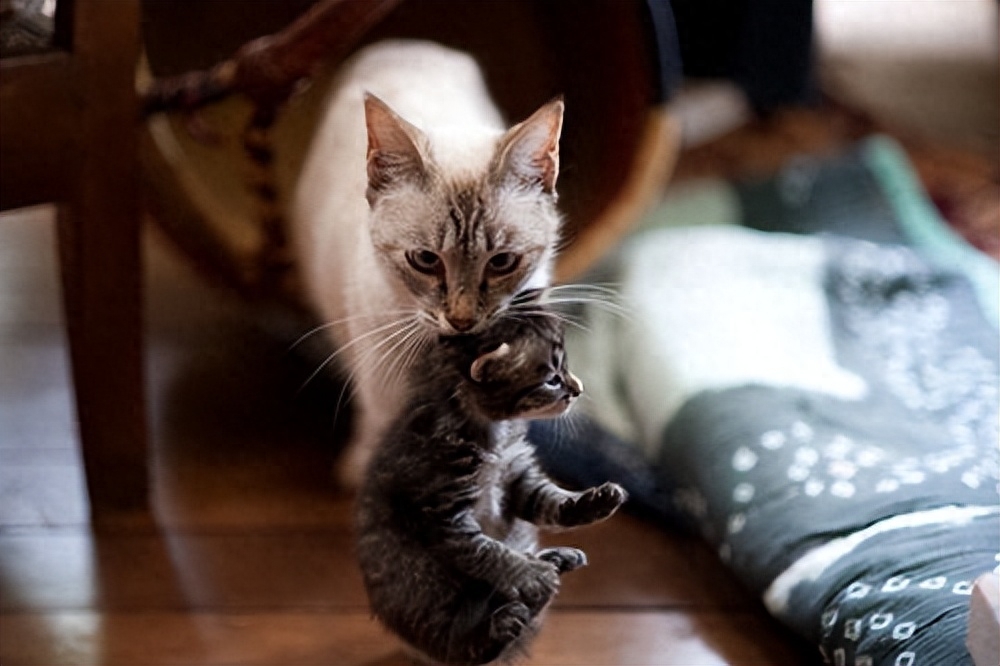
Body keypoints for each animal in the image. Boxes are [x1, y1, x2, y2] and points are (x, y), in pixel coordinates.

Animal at [358, 304, 624, 660]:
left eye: (566, 368)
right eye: (553, 380)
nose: (579, 390)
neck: (493, 432)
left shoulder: (518, 477)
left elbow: (550, 500)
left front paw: (593, 503)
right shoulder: (441, 510)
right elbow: (487, 551)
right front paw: (530, 575)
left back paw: (553, 562)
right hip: (429, 596)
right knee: (462, 647)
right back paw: (509, 615)